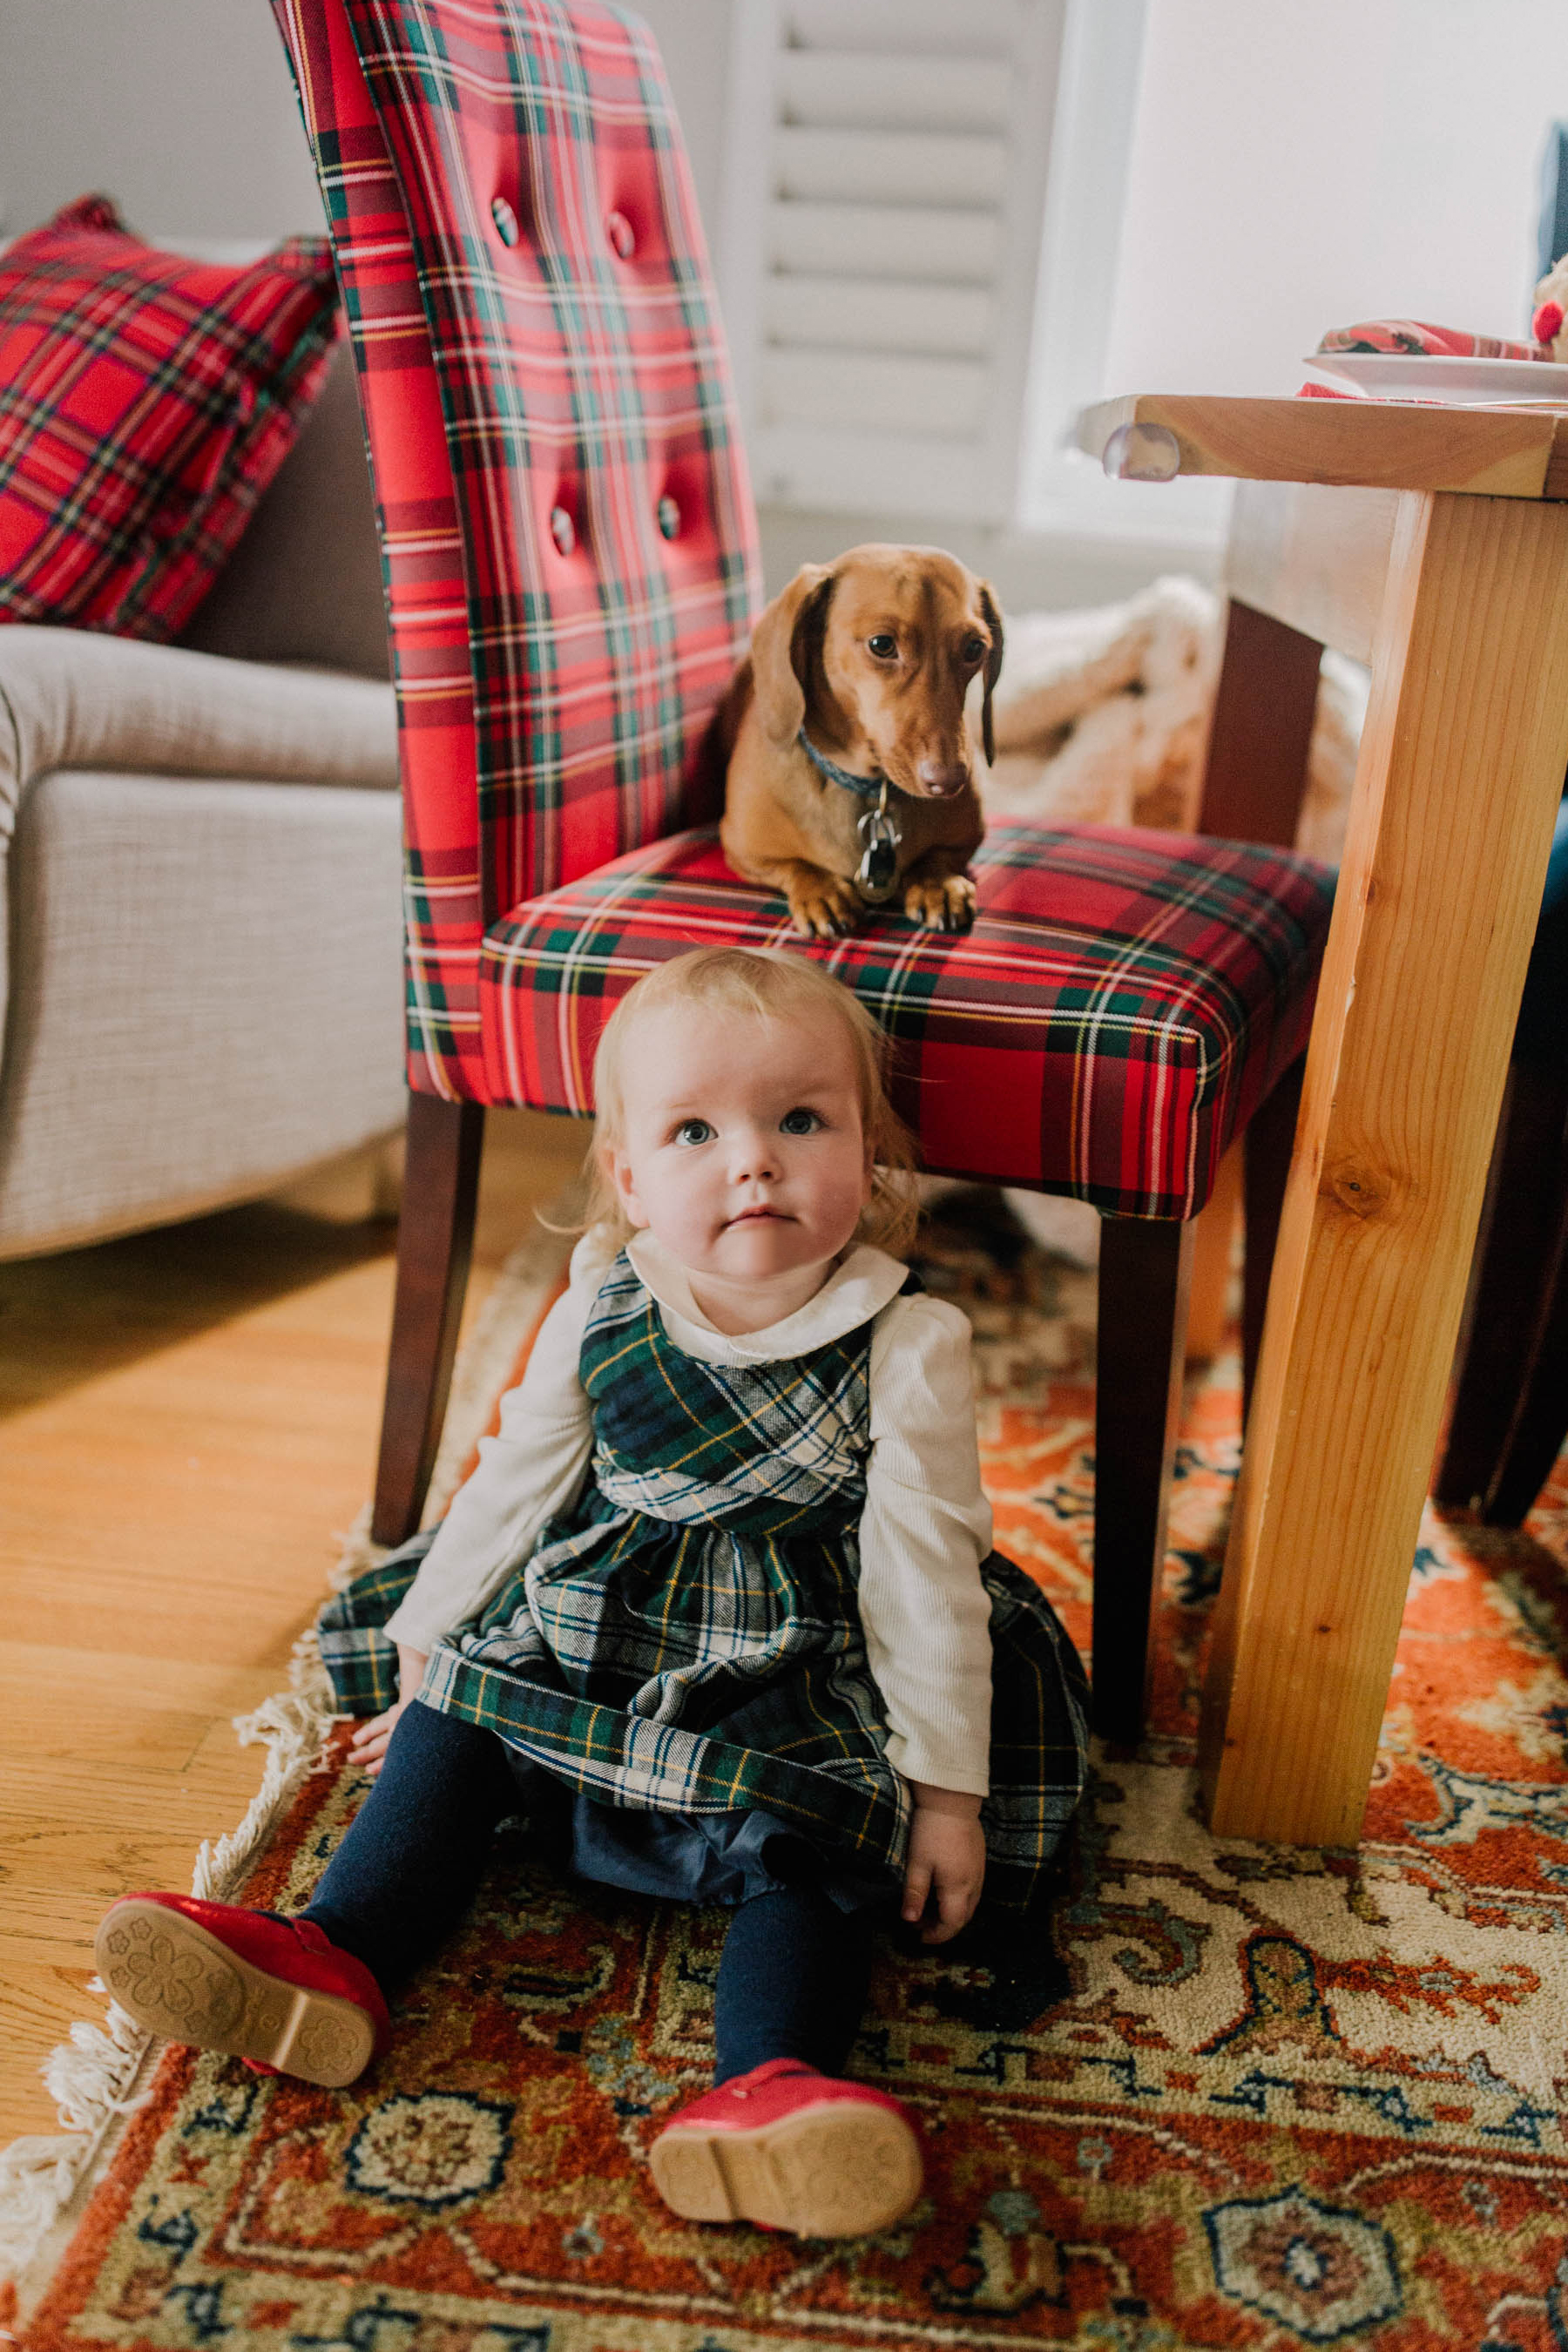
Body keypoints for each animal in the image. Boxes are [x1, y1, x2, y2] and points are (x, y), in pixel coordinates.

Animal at [719, 541, 1006, 936]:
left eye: (975, 648)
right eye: (881, 644)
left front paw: (936, 882)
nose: (950, 782)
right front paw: (821, 890)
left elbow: (937, 859)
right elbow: (795, 865)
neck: (871, 790)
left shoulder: (967, 839)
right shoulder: (741, 846)